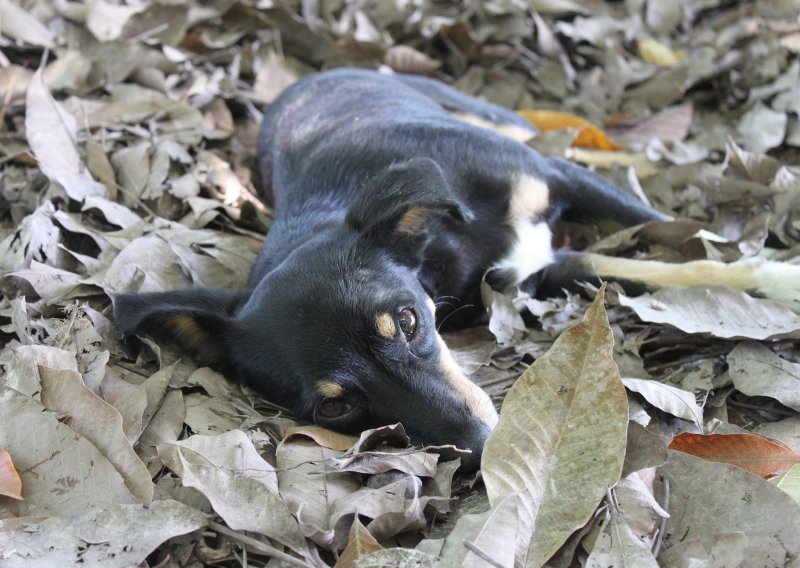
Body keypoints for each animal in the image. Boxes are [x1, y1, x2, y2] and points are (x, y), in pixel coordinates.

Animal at [114, 69, 800, 472]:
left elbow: (672, 233)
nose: (481, 453)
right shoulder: (539, 275)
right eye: (335, 409)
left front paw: (775, 275)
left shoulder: (555, 181)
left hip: (488, 117)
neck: (449, 245)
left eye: (410, 322)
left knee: (574, 142)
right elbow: (646, 268)